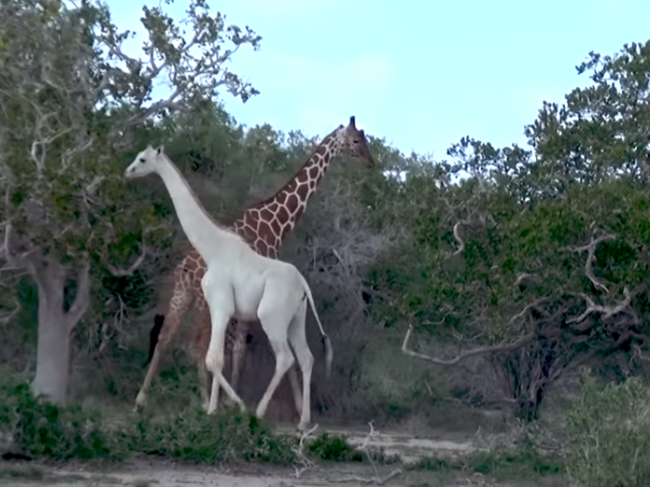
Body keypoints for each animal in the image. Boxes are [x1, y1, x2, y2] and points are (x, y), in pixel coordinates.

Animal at [124, 146, 332, 430]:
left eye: (143, 159)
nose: (128, 172)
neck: (212, 248)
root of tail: (303, 286)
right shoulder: (219, 309)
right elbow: (216, 358)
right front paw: (214, 408)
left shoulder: (221, 306)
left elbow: (213, 358)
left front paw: (232, 407)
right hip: (295, 320)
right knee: (306, 357)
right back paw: (303, 422)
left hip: (271, 317)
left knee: (285, 358)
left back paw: (258, 412)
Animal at [134, 117, 372, 412]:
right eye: (356, 140)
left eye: (364, 138)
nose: (370, 161)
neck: (274, 224)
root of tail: (185, 267)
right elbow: (238, 350)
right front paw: (232, 401)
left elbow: (238, 350)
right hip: (200, 302)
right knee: (196, 345)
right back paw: (204, 400)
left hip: (182, 295)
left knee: (166, 337)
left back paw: (143, 398)